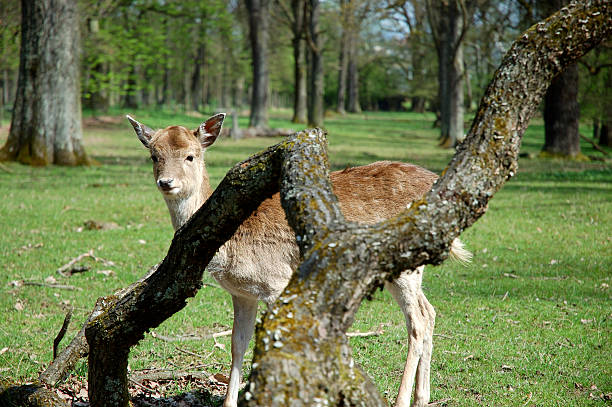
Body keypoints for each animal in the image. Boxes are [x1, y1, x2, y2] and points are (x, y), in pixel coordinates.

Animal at [128, 113, 474, 407]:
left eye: (191, 155)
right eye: (154, 155)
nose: (166, 182)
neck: (231, 245)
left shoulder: (276, 282)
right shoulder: (242, 293)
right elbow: (237, 343)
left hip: (403, 261)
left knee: (418, 319)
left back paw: (403, 400)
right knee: (430, 312)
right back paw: (422, 398)